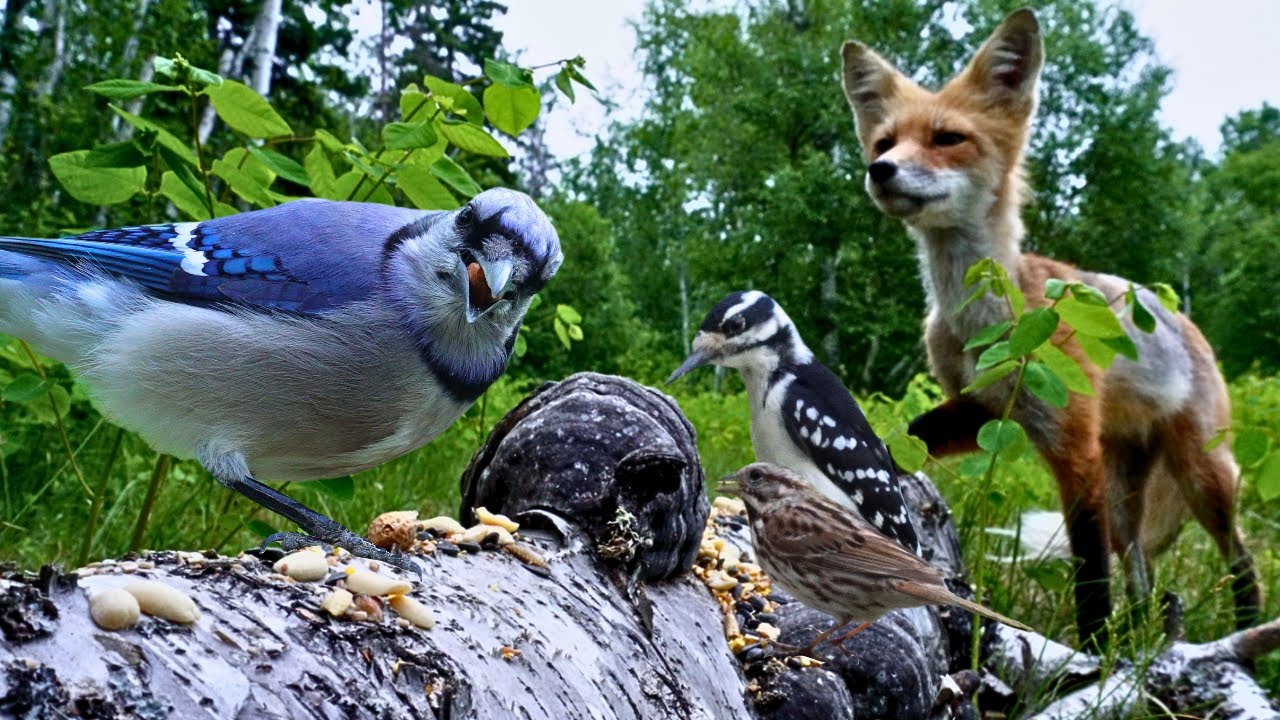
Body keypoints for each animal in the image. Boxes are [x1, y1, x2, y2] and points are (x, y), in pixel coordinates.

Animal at [839, 8, 1260, 647]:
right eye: (885, 141)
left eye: (947, 138)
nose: (880, 169)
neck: (979, 319)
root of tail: (1188, 324)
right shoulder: (983, 408)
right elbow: (905, 436)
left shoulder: (1071, 445)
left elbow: (1090, 577)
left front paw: (1091, 652)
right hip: (1125, 489)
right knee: (1140, 568)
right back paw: (1144, 635)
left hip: (1200, 475)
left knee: (1239, 559)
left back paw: (1240, 632)